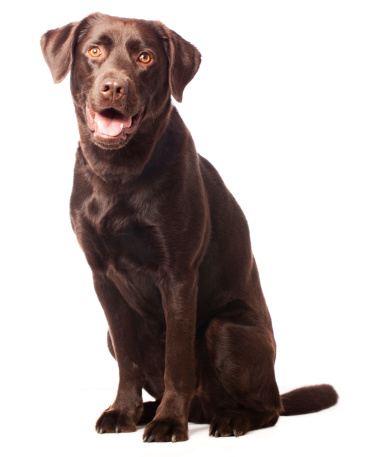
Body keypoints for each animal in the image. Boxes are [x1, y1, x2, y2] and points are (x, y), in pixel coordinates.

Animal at [40, 13, 338, 442]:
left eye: (145, 57)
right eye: (94, 51)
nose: (113, 86)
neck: (118, 175)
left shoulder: (178, 274)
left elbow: (177, 360)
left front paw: (169, 423)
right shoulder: (102, 278)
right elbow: (128, 361)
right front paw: (123, 412)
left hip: (225, 331)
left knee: (269, 409)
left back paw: (229, 419)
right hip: (116, 336)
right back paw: (149, 411)